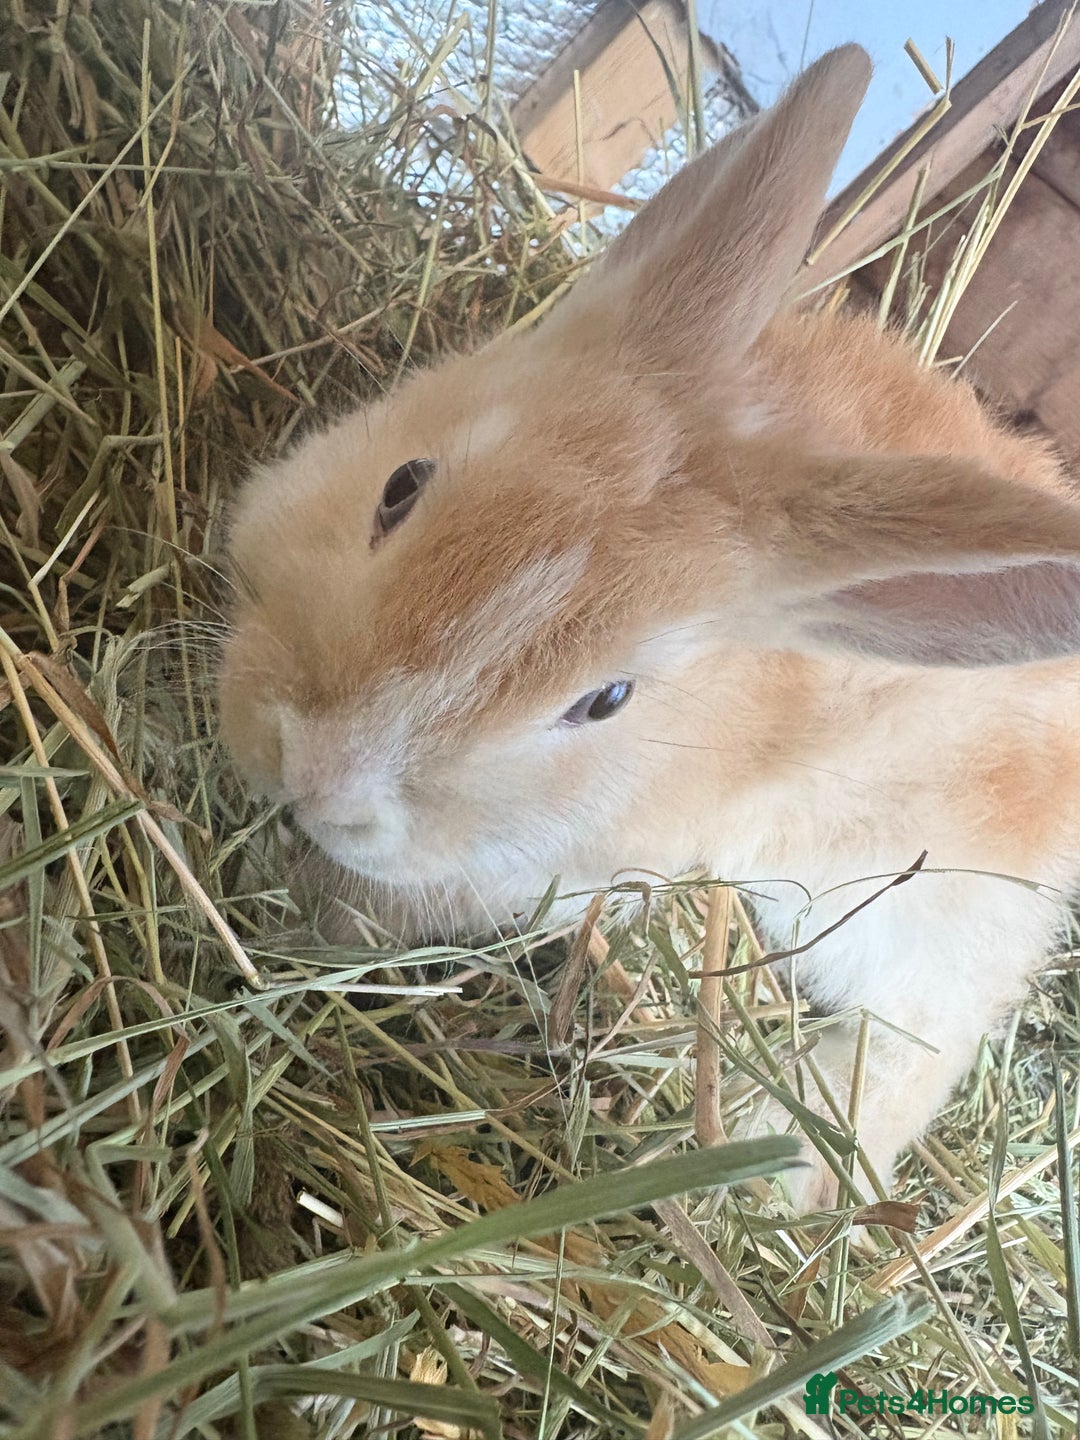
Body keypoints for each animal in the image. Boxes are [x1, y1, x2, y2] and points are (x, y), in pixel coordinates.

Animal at [219, 44, 1080, 1210]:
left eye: (608, 699)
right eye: (401, 486)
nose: (317, 769)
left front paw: (287, 914)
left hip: (928, 906)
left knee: (927, 1032)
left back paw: (766, 1154)